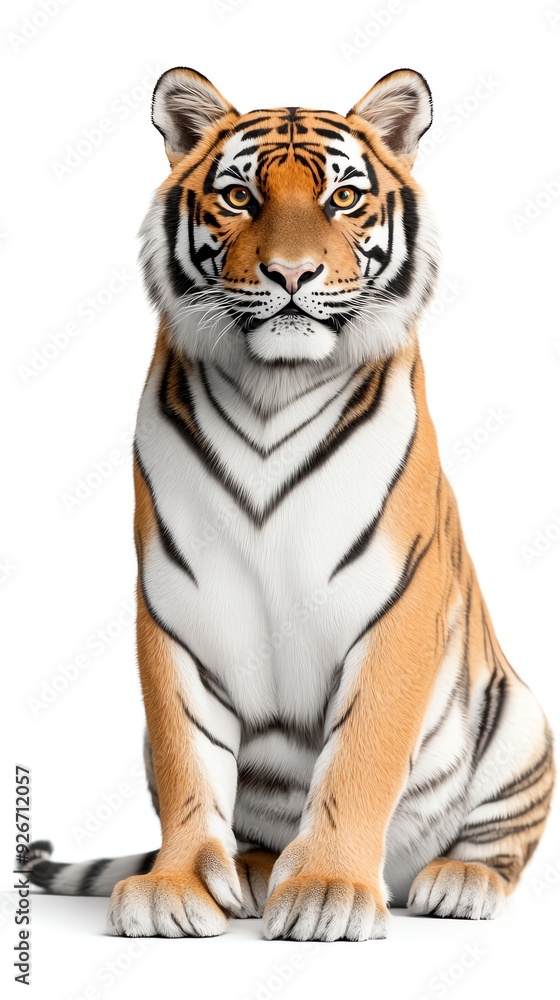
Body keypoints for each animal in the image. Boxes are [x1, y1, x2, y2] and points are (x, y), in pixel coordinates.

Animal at [22, 66, 554, 942]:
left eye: (344, 198)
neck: (275, 386)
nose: (293, 275)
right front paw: (178, 888)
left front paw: (331, 891)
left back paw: (457, 882)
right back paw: (252, 870)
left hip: (519, 723)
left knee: (498, 840)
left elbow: (362, 755)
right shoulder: (174, 607)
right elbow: (187, 758)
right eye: (240, 197)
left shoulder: (398, 603)